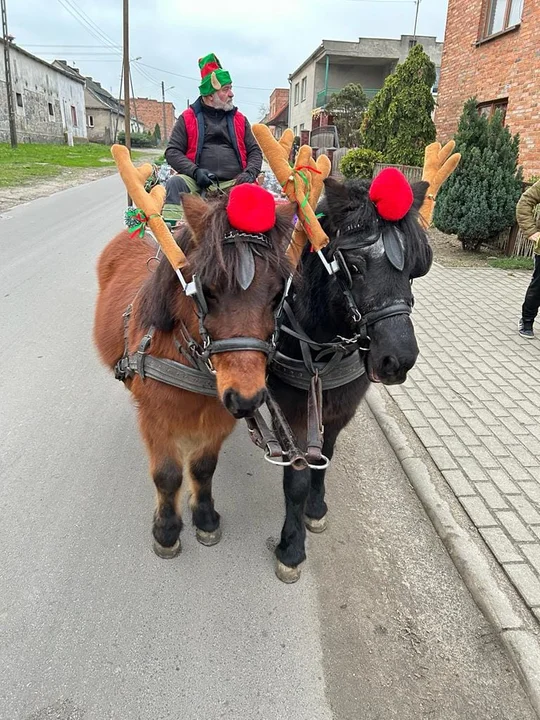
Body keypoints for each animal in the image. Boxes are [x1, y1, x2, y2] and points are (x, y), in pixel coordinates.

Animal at [93, 194, 296, 560]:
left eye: (277, 296)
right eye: (208, 291)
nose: (246, 398)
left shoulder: (220, 418)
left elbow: (203, 467)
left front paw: (204, 517)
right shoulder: (155, 419)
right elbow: (167, 475)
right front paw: (166, 530)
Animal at [268, 174, 432, 584]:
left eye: (413, 269)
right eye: (354, 267)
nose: (398, 359)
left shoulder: (340, 410)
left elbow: (325, 456)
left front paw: (316, 508)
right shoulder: (291, 413)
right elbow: (295, 479)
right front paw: (291, 548)